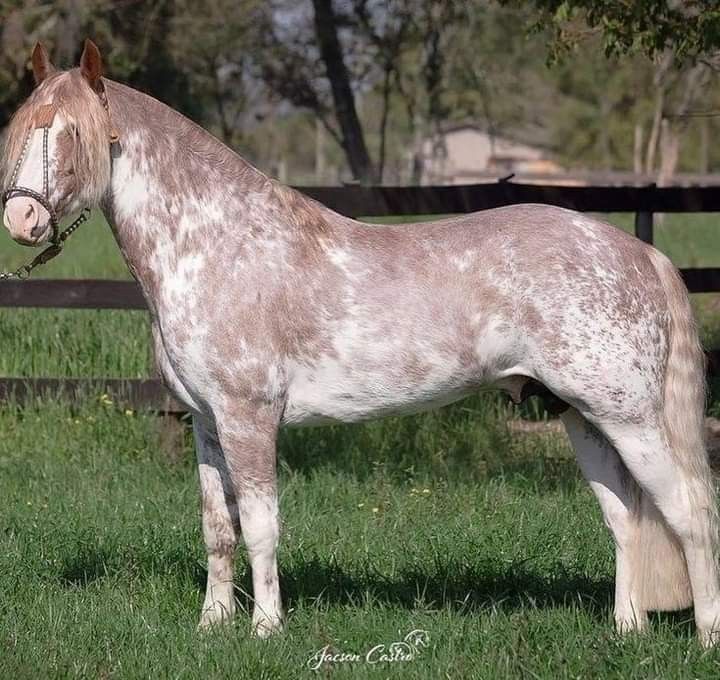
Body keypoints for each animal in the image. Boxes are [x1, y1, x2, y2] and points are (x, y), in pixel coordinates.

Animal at [1, 39, 720, 644]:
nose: (21, 218)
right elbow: (217, 528)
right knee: (624, 517)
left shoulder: (249, 418)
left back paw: (705, 636)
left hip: (631, 418)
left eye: (70, 134)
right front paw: (212, 625)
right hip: (580, 416)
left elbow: (260, 526)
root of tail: (638, 253)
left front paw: (266, 629)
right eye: (21, 130)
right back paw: (626, 629)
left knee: (690, 511)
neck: (217, 245)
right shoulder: (205, 422)